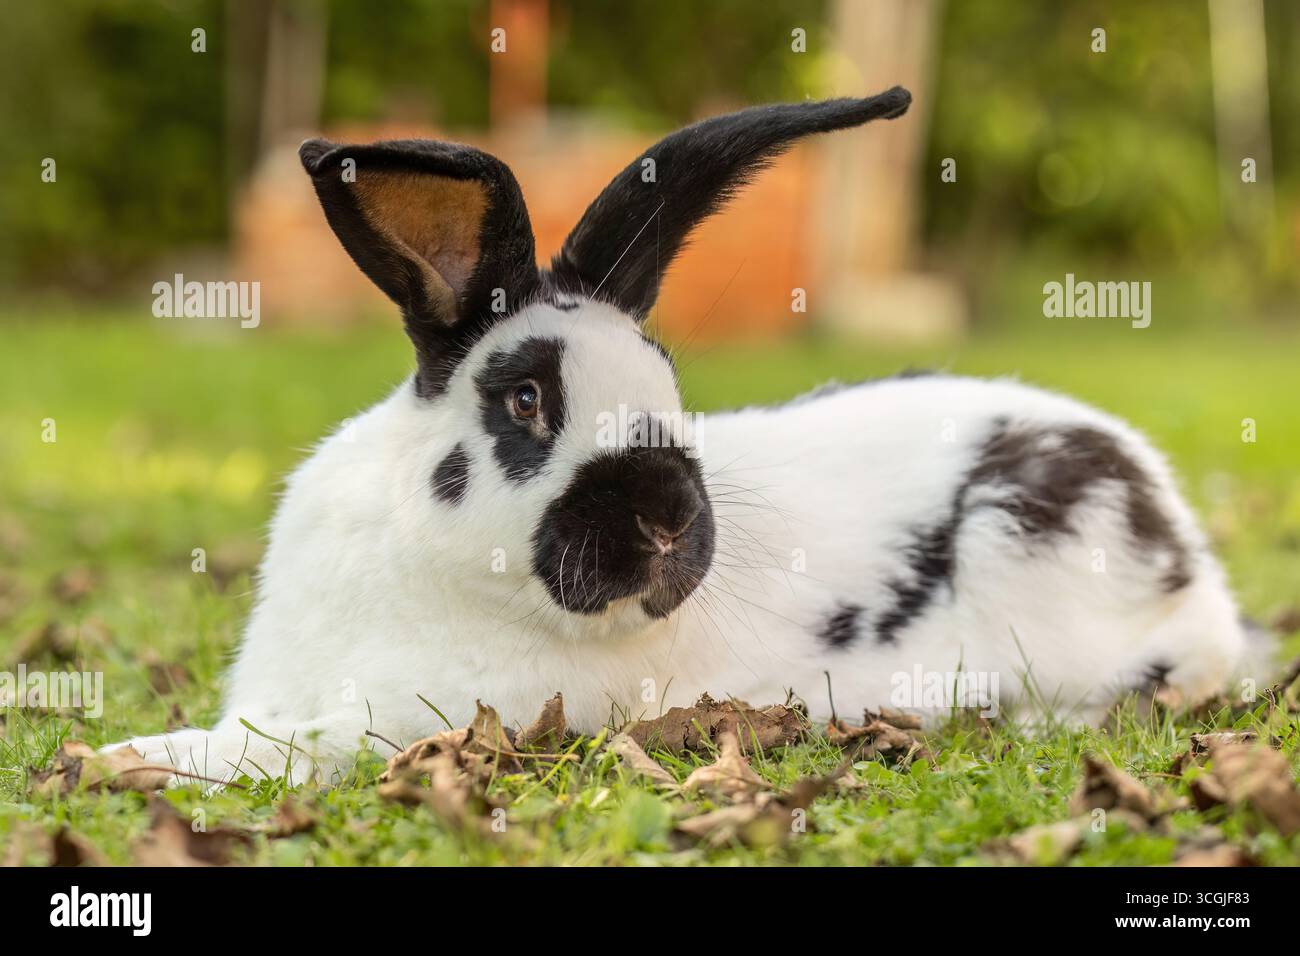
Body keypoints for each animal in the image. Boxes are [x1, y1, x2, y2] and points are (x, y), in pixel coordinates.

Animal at [110, 86, 1257, 786]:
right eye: (524, 399)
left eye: (667, 384)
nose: (665, 518)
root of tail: (1176, 533)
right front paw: (121, 753)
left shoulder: (419, 718)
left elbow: (270, 750)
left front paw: (119, 757)